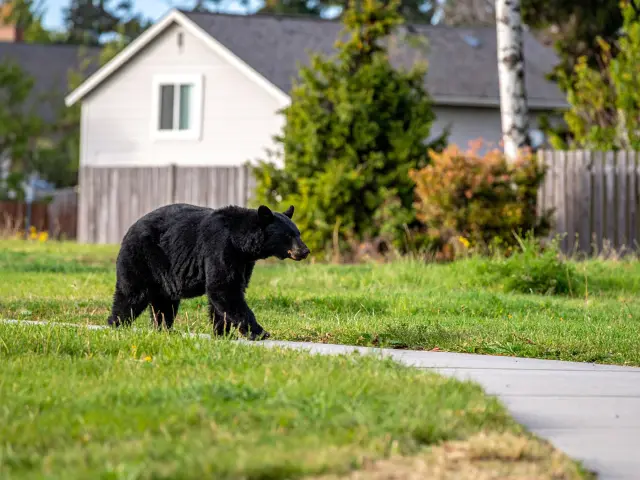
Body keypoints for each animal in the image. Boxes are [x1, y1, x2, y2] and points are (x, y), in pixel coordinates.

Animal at [106, 203, 310, 340]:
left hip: (163, 273)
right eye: (288, 235)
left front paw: (222, 333)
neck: (241, 243)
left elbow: (227, 292)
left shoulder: (243, 262)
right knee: (131, 294)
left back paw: (165, 329)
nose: (305, 251)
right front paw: (260, 332)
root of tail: (129, 229)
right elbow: (224, 288)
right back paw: (116, 324)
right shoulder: (220, 248)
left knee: (164, 303)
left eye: (298, 233)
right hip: (142, 257)